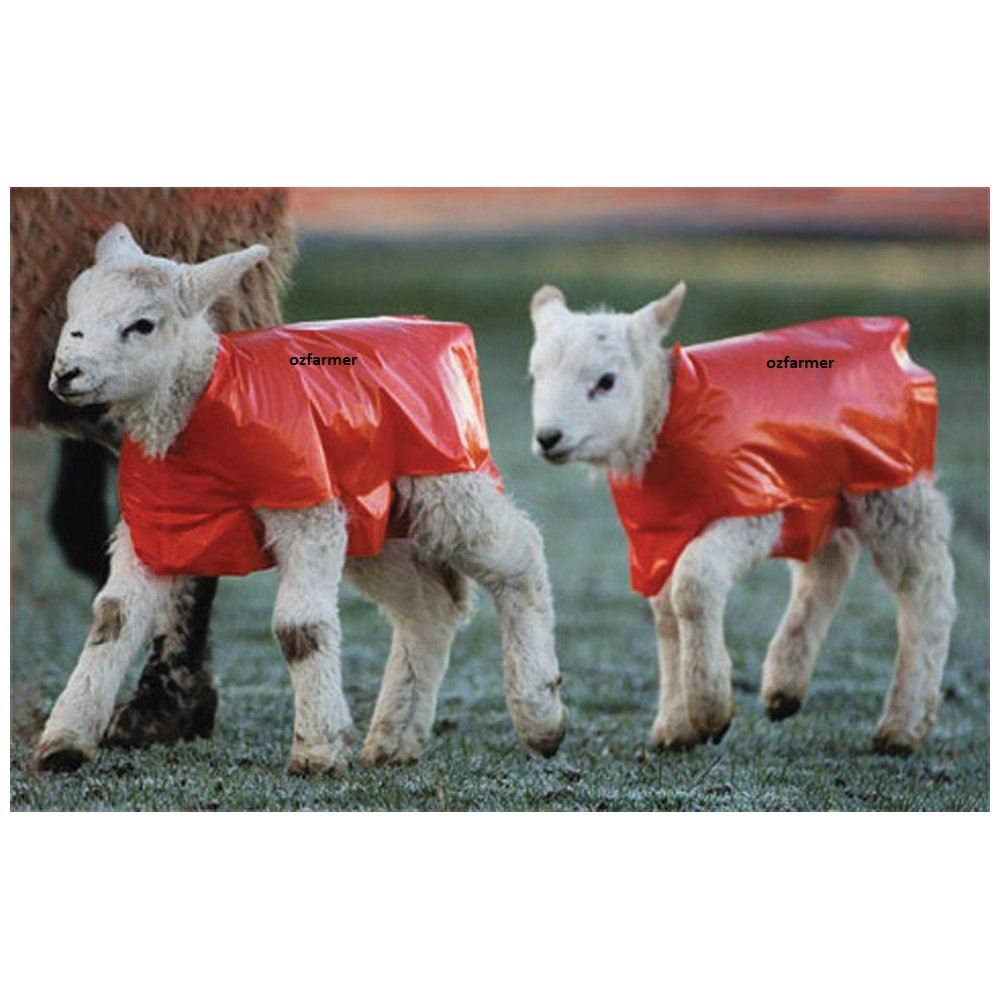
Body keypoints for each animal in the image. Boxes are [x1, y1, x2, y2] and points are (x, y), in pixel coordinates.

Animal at [33, 224, 566, 774]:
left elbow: (299, 629)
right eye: (73, 313)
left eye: (142, 325)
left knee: (520, 555)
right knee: (428, 607)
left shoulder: (305, 509)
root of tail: (437, 327)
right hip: (373, 517)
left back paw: (540, 715)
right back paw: (393, 740)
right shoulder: (158, 524)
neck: (203, 400)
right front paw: (65, 741)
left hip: (444, 477)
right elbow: (112, 619)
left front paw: (318, 750)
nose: (65, 374)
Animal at [528, 283, 956, 755]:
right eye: (534, 378)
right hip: (817, 490)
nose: (548, 437)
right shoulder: (659, 532)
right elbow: (667, 614)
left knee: (925, 588)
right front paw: (676, 724)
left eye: (606, 381)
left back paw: (902, 726)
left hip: (892, 484)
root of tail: (896, 335)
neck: (669, 415)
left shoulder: (751, 506)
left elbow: (693, 586)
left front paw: (710, 708)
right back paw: (785, 686)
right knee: (830, 562)